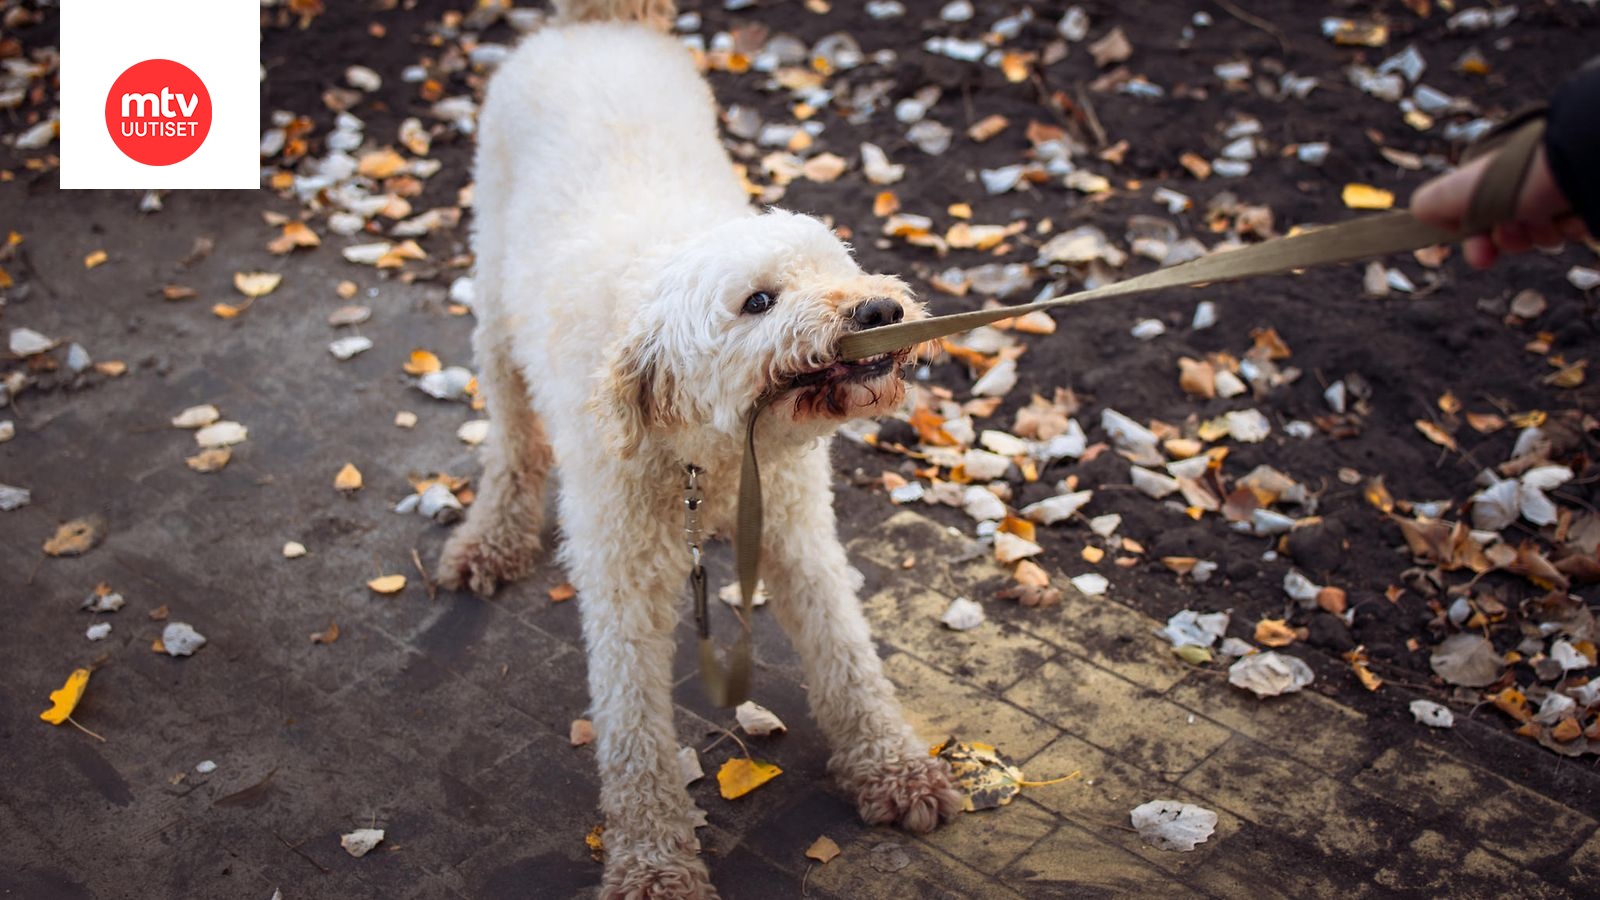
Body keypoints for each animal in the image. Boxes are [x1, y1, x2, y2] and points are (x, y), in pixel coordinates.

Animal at [438, 0, 953, 890]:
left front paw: (892, 766)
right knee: (510, 436)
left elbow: (848, 657)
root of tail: (591, 26)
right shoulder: (621, 588)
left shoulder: (799, 536)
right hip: (495, 311)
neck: (710, 455)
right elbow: (634, 733)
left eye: (838, 266)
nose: (880, 312)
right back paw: (492, 535)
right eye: (758, 301)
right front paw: (653, 865)